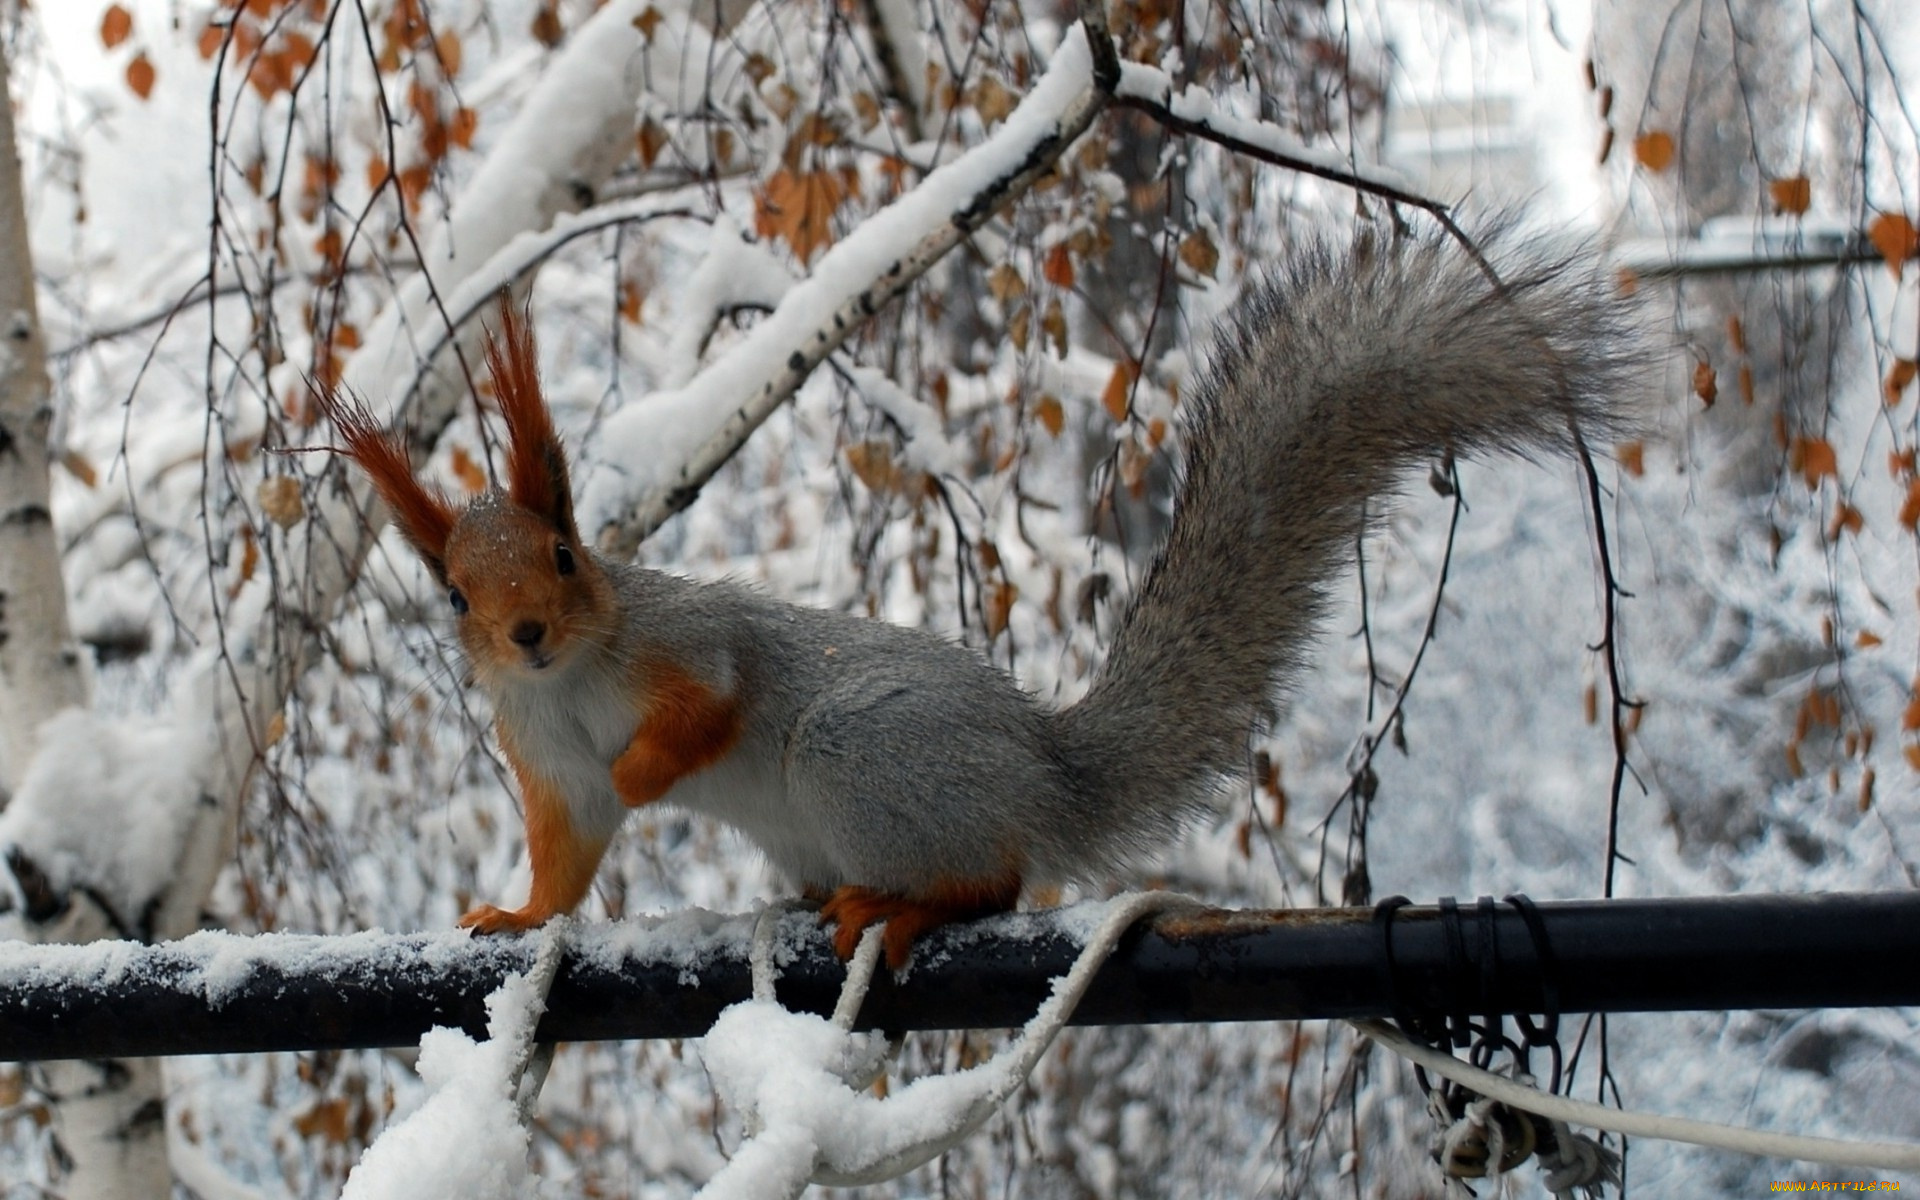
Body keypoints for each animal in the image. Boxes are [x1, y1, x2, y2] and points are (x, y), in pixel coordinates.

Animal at [314, 226, 1635, 975]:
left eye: (568, 553)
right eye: (453, 595)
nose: (528, 635)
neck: (582, 676)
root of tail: (1046, 772)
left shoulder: (694, 643)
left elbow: (709, 710)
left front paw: (650, 770)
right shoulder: (543, 751)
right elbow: (571, 847)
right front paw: (517, 917)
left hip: (860, 758)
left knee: (991, 881)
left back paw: (902, 908)